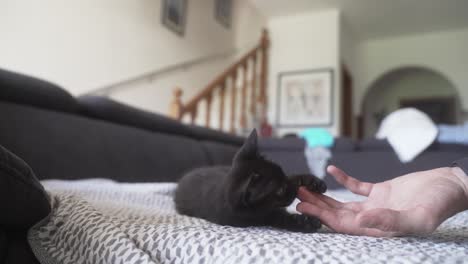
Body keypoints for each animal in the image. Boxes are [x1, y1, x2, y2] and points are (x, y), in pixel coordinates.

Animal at [174, 130, 328, 233]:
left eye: (283, 173)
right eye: (280, 190)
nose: (294, 190)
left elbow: (294, 177)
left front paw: (314, 182)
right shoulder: (262, 217)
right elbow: (281, 218)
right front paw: (307, 222)